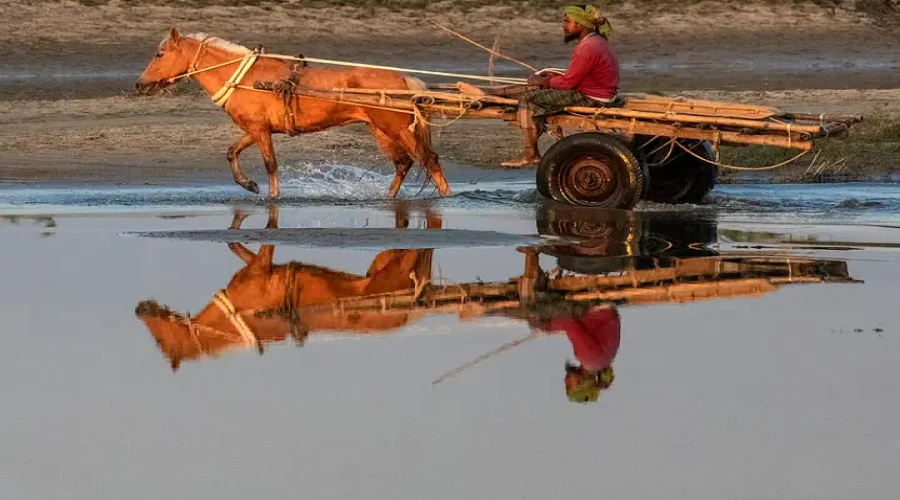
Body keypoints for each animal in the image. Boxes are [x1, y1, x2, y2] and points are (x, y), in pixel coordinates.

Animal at [134, 28, 450, 199]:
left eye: (160, 54)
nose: (139, 84)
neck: (245, 77)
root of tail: (402, 79)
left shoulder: (260, 132)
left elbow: (271, 165)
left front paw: (271, 196)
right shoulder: (255, 129)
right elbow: (231, 152)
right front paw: (248, 184)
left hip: (396, 128)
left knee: (429, 161)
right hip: (381, 130)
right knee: (403, 164)